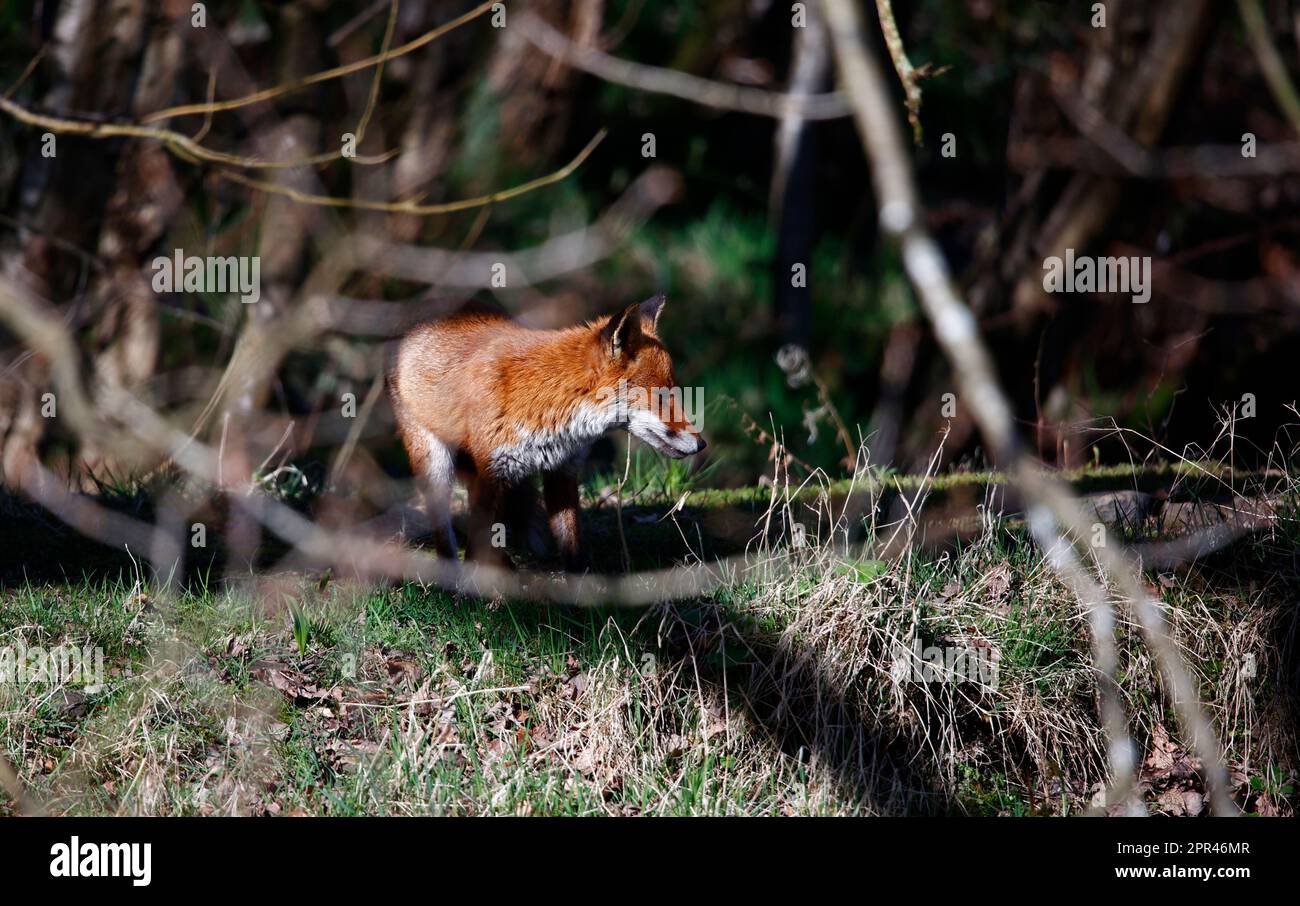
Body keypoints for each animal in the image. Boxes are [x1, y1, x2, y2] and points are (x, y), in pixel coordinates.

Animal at [387, 293, 707, 569]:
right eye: (662, 396)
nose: (701, 444)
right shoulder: (490, 474)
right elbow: (481, 545)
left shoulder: (562, 471)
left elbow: (572, 548)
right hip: (435, 463)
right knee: (445, 532)